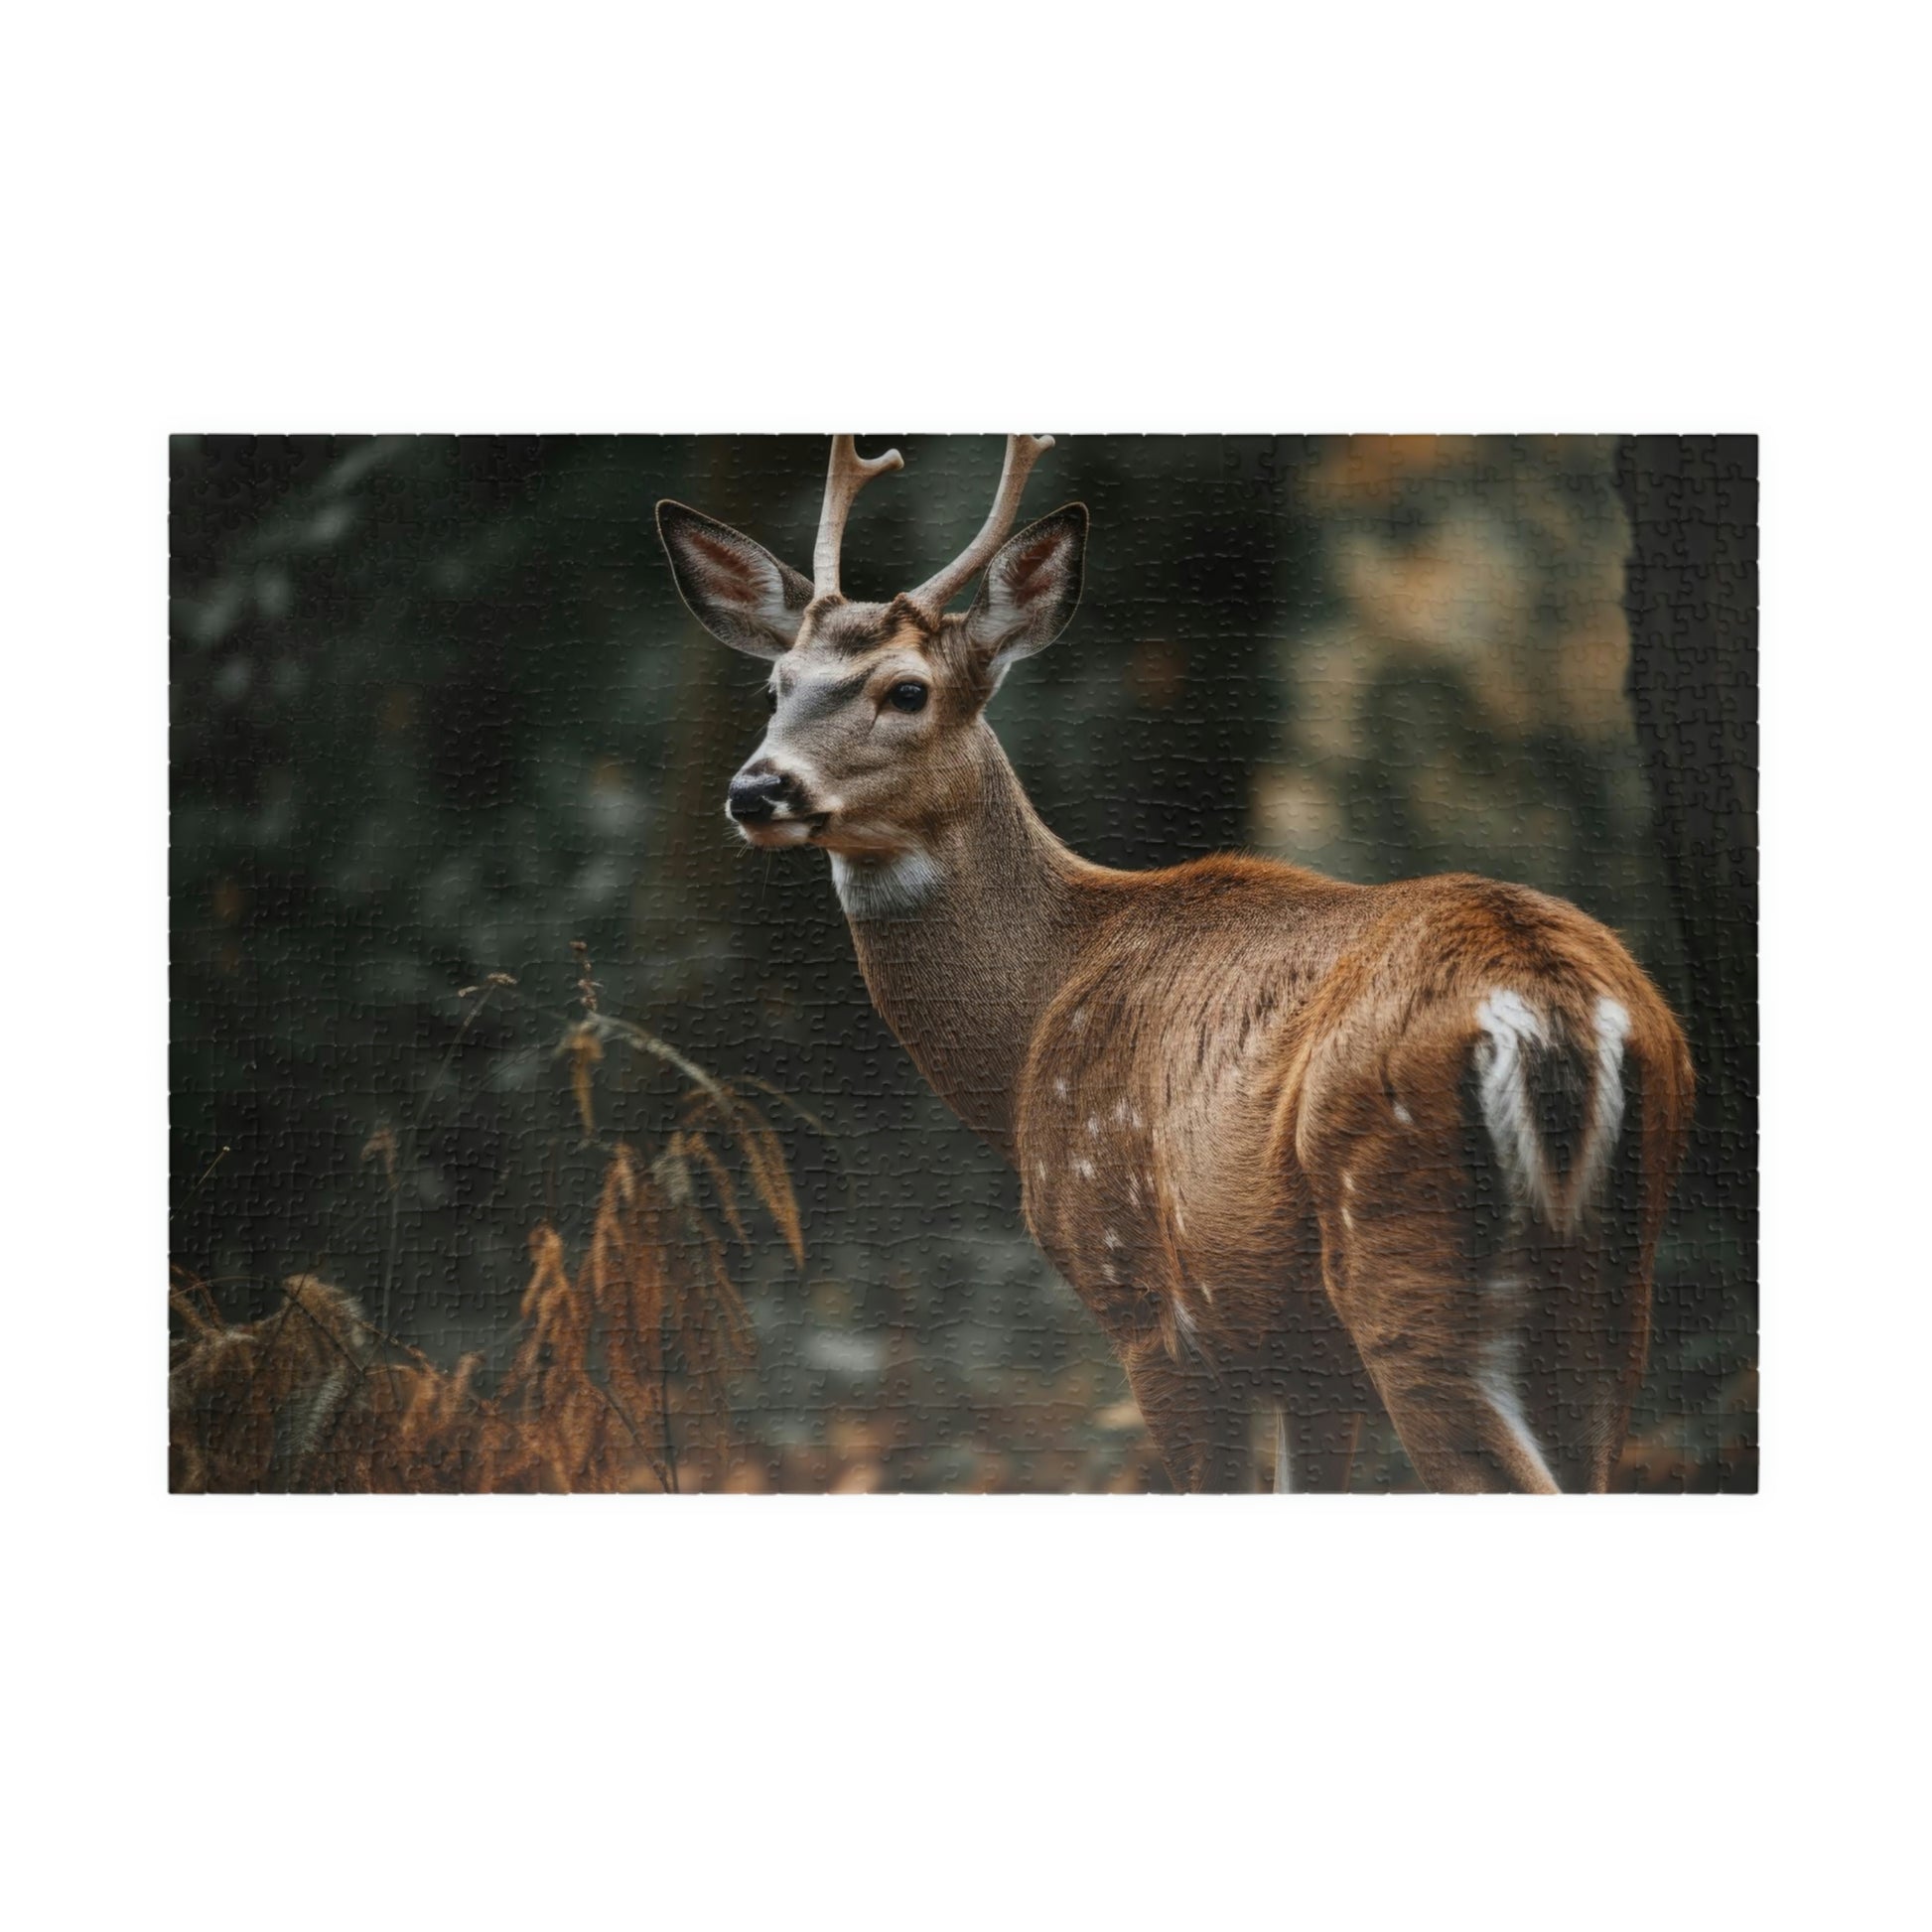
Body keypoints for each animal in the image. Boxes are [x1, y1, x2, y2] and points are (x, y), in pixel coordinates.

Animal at [656, 435, 1694, 1493]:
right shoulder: (1303, 1365)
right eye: (776, 686)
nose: (757, 789)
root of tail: (1553, 1008)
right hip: (1613, 1287)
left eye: (906, 689)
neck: (1033, 1024)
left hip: (1404, 1252)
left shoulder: (1147, 1298)